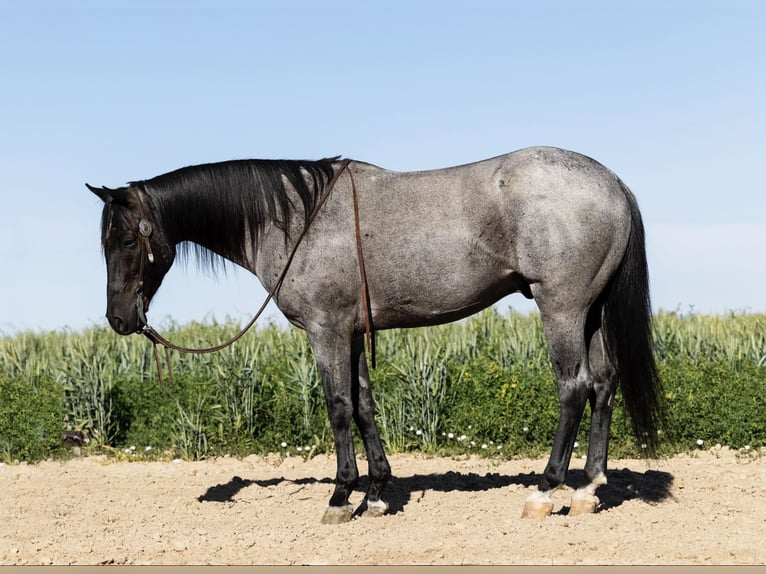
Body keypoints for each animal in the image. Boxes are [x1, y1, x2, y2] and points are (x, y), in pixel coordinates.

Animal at [87, 146, 663, 522]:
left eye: (127, 240)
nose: (119, 319)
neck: (296, 219)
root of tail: (611, 182)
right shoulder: (352, 331)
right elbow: (364, 404)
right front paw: (378, 494)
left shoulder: (326, 330)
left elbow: (338, 405)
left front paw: (341, 496)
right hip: (589, 312)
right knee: (603, 384)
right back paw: (589, 488)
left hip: (561, 307)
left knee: (573, 388)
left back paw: (545, 491)